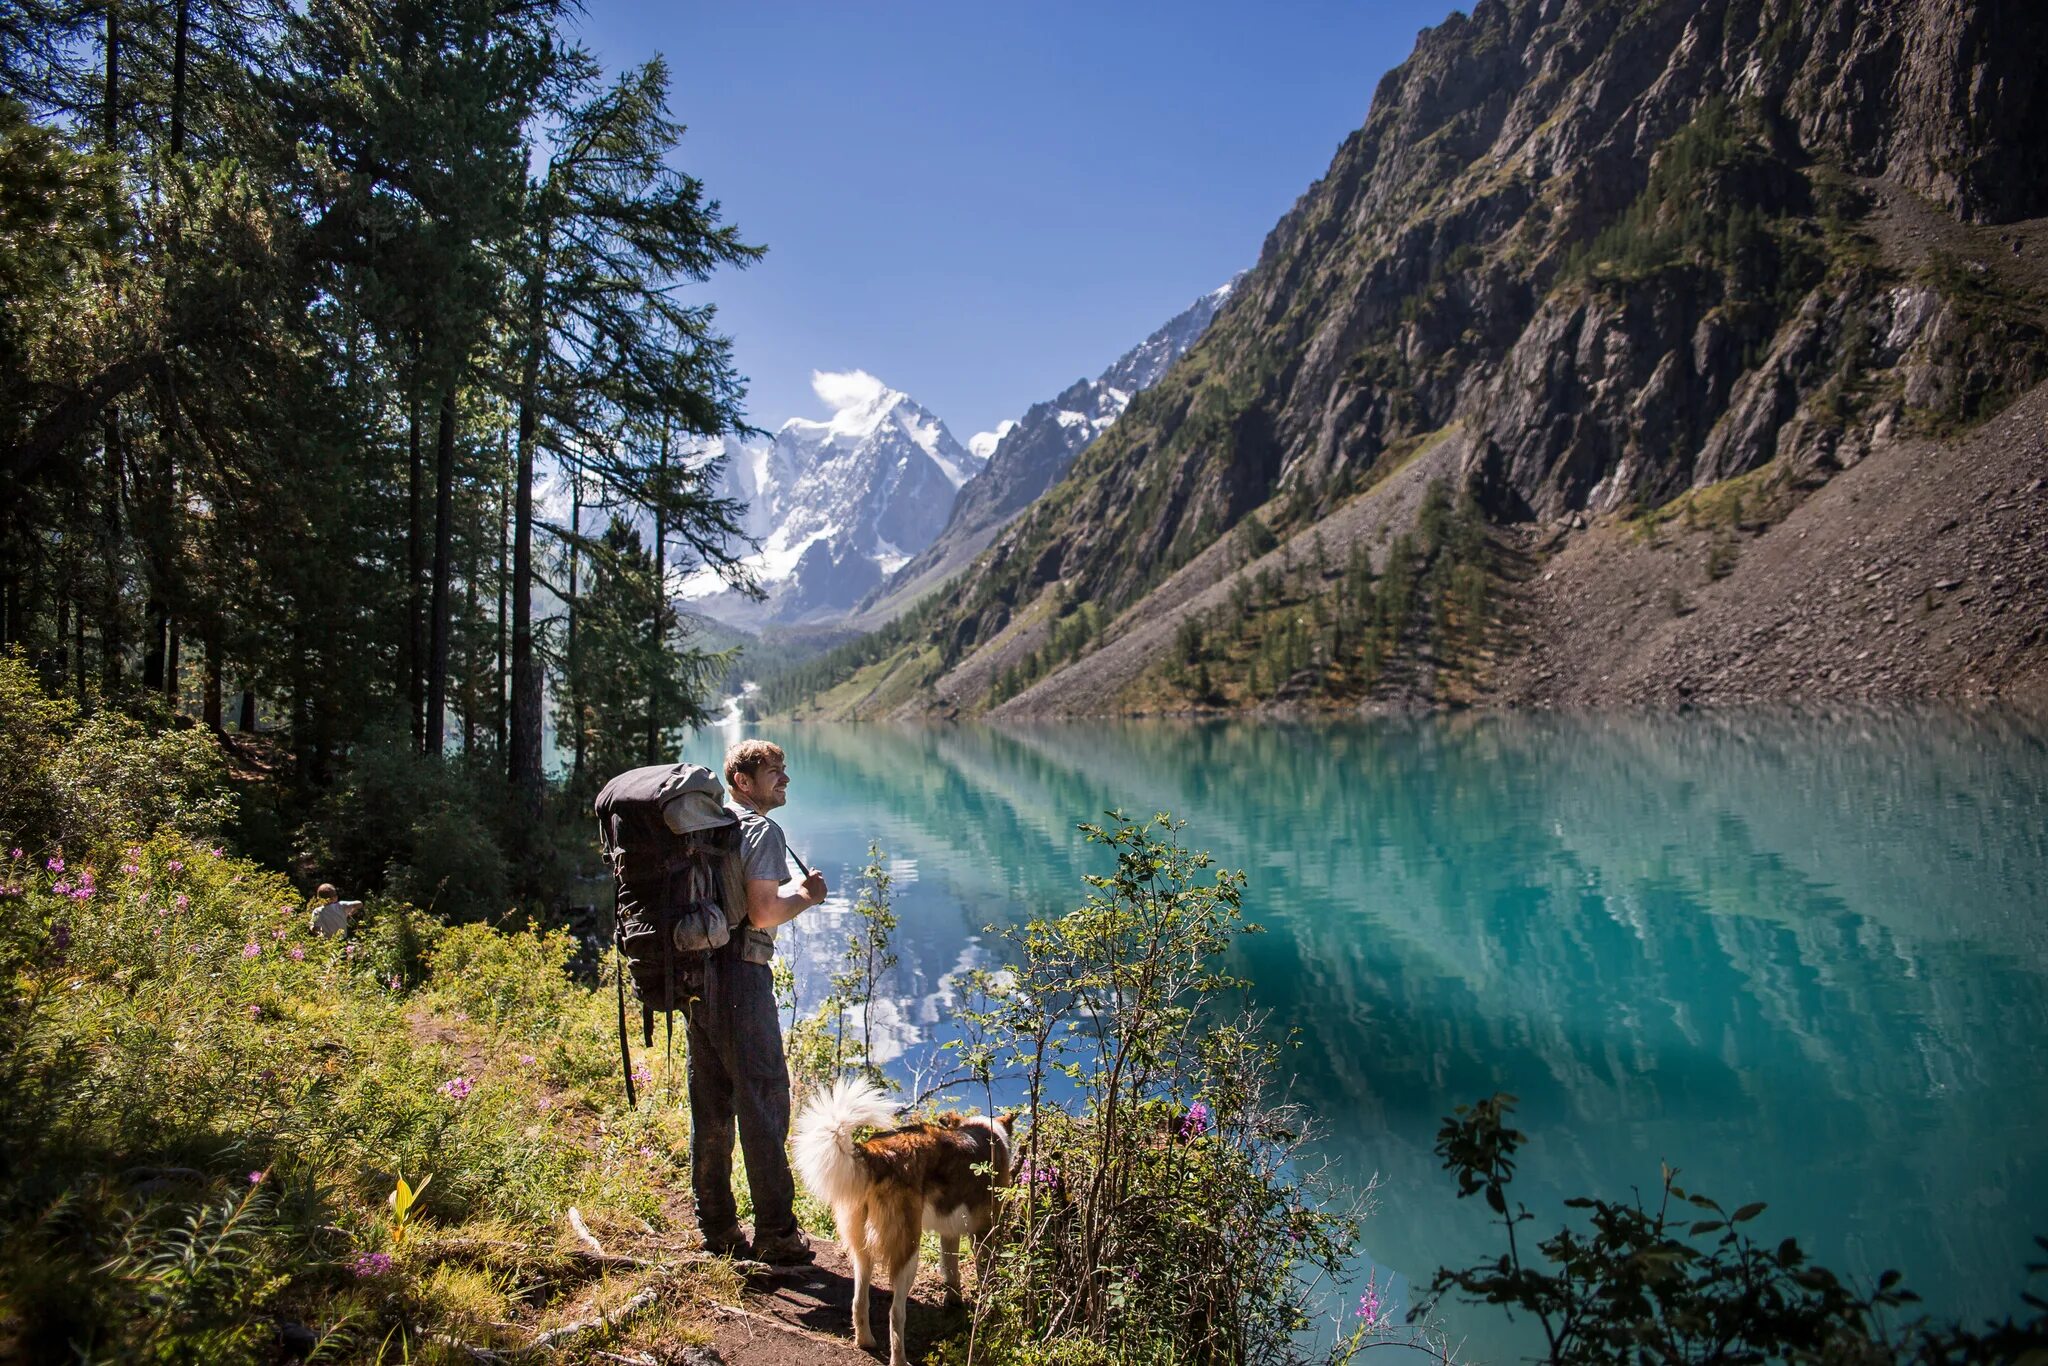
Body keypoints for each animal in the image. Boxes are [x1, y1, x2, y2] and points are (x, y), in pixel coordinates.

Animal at [798, 1081, 1024, 1366]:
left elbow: (951, 1271)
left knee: (859, 1301)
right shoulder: (984, 1232)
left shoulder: (949, 1233)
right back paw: (899, 1359)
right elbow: (986, 1273)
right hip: (908, 1250)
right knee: (896, 1314)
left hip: (861, 1249)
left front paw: (954, 1302)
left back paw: (865, 1341)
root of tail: (877, 1153)